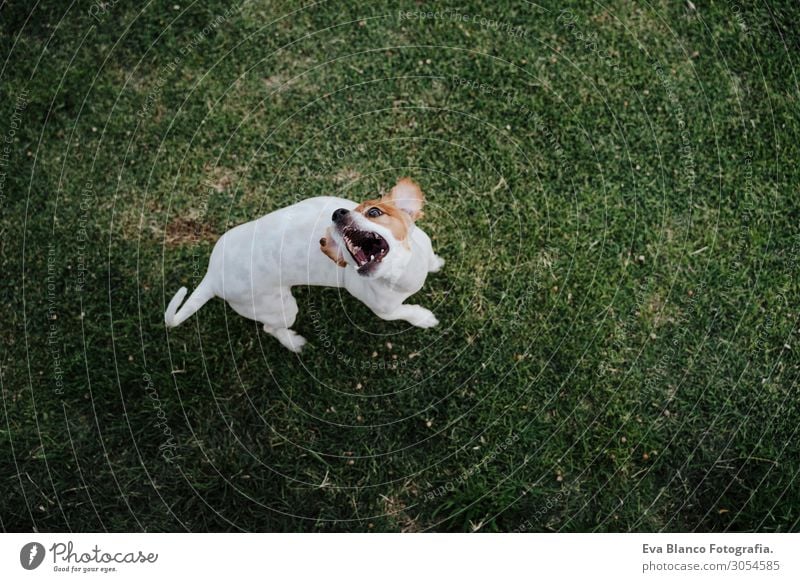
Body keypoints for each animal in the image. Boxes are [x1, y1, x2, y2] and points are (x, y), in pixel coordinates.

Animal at [166, 177, 446, 352]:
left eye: (374, 212)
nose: (338, 213)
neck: (403, 273)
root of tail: (212, 276)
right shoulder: (384, 311)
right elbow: (404, 312)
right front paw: (423, 317)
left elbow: (431, 259)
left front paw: (436, 263)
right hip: (281, 308)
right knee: (270, 327)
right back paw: (292, 342)